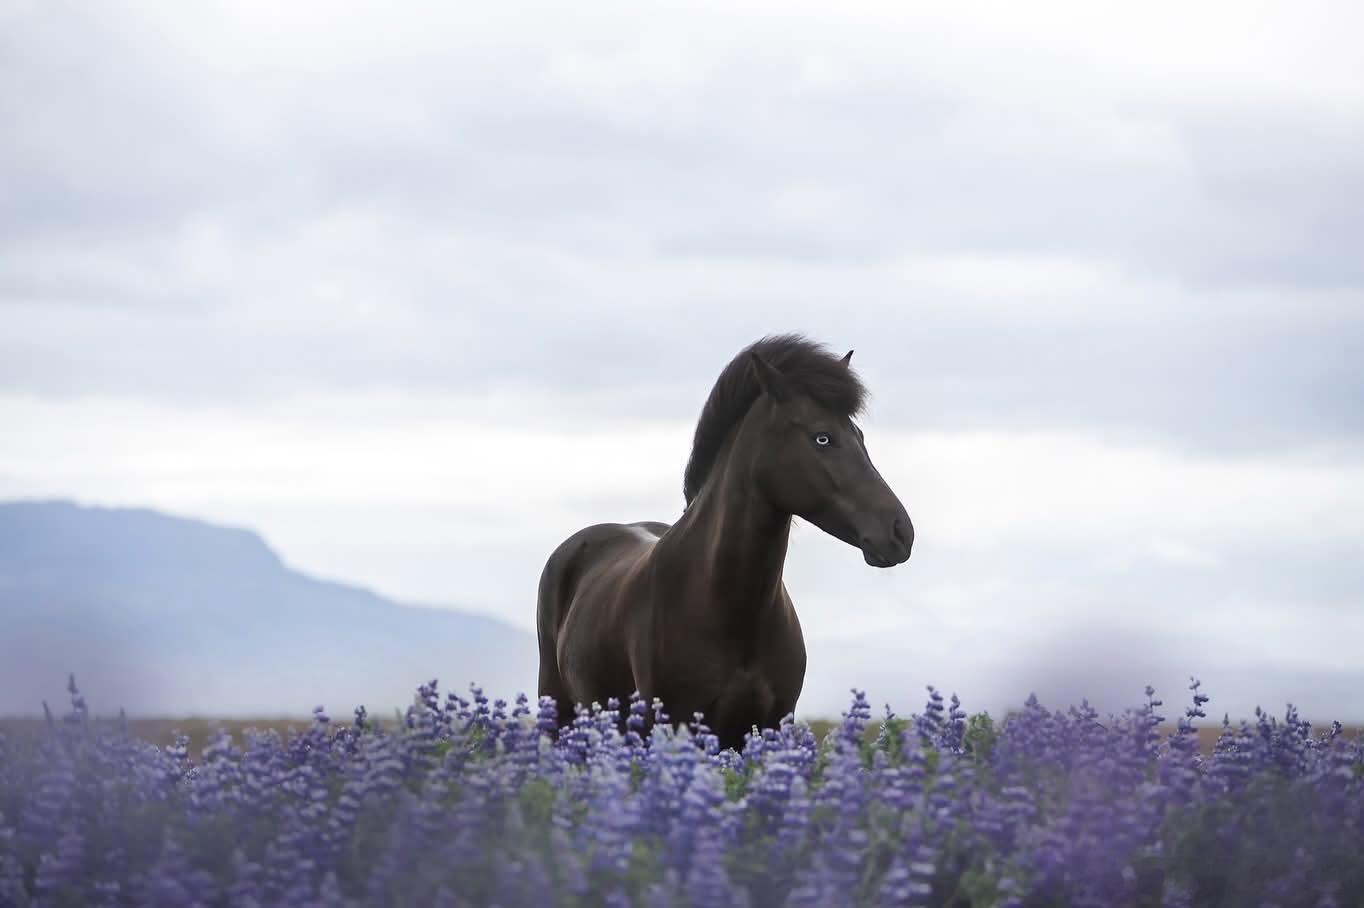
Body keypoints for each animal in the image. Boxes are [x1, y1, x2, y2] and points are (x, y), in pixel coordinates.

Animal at [536, 334, 913, 750]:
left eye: (859, 436)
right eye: (823, 437)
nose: (901, 531)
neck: (732, 608)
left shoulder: (767, 726)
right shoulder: (678, 724)